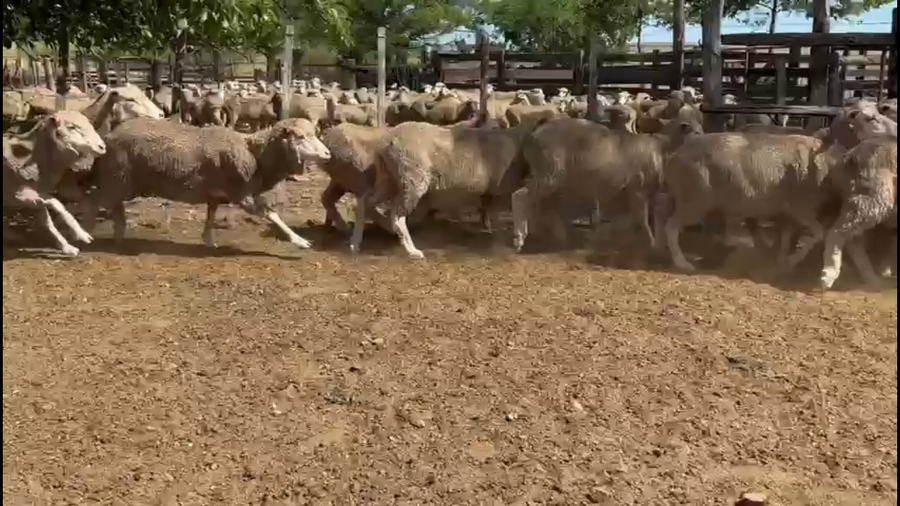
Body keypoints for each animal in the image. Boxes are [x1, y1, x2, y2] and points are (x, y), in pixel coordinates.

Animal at [3, 111, 106, 256]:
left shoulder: (32, 197)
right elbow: (55, 203)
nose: (102, 147)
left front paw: (67, 247)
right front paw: (81, 234)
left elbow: (48, 222)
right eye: (71, 127)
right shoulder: (19, 195)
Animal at [79, 117, 331, 250]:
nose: (328, 153)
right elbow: (271, 214)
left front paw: (208, 241)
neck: (253, 153)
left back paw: (118, 234)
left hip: (121, 181)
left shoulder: (217, 194)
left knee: (112, 204)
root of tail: (108, 137)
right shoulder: (241, 193)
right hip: (118, 178)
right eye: (301, 137)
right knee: (93, 200)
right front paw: (299, 240)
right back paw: (86, 233)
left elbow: (211, 216)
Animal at [349, 120, 545, 258]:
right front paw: (513, 240)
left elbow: (490, 213)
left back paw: (355, 243)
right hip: (412, 178)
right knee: (396, 216)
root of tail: (387, 141)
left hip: (388, 178)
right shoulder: (500, 190)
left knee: (364, 201)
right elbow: (511, 211)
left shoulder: (490, 193)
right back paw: (412, 251)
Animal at [510, 116, 703, 252]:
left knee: (544, 205)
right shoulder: (637, 190)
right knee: (520, 196)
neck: (662, 149)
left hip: (551, 176)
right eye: (697, 131)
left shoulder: (635, 192)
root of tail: (532, 135)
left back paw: (554, 236)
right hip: (550, 173)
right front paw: (650, 243)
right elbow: (641, 219)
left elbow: (633, 220)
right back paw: (520, 238)